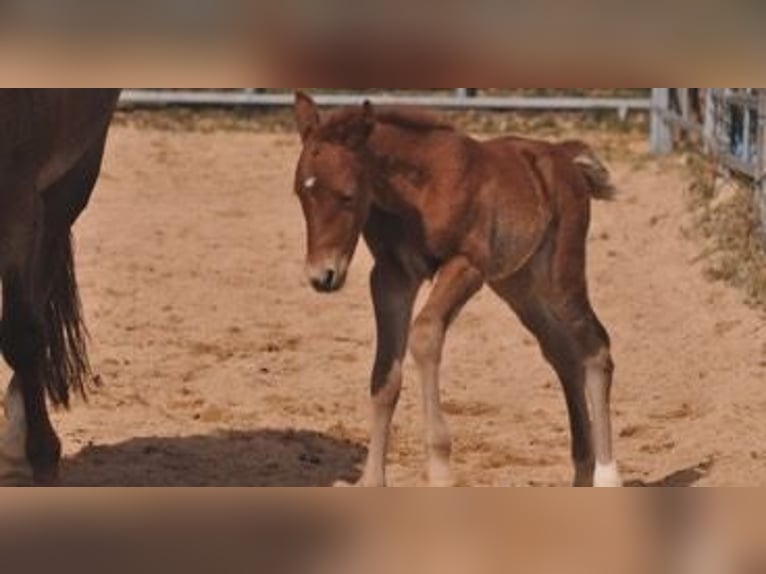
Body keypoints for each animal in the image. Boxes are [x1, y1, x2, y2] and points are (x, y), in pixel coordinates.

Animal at [292, 91, 621, 487]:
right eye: (300, 193)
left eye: (348, 195)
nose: (322, 276)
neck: (421, 188)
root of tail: (565, 157)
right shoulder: (391, 277)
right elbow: (385, 377)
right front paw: (371, 481)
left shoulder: (466, 266)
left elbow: (424, 335)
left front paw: (440, 472)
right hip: (518, 285)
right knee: (563, 355)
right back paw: (582, 471)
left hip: (560, 277)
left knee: (595, 347)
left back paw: (607, 475)